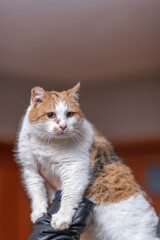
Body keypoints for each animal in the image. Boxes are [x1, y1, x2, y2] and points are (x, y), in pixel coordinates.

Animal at [16, 83, 159, 240]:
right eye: (50, 115)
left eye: (69, 114)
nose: (63, 126)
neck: (48, 143)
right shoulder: (31, 169)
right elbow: (36, 192)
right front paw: (39, 212)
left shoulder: (75, 167)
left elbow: (68, 195)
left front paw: (61, 219)